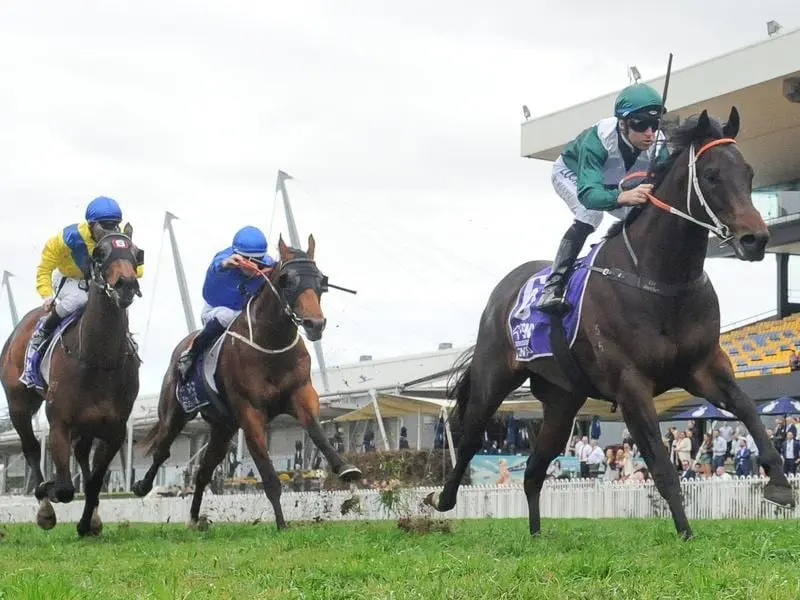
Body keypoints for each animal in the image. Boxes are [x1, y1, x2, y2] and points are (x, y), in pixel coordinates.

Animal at [1, 225, 144, 536]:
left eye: (137, 253)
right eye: (99, 253)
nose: (126, 284)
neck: (99, 359)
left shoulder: (115, 430)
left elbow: (93, 482)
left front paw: (87, 523)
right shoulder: (60, 424)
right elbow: (65, 488)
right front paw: (50, 490)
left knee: (80, 455)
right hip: (19, 405)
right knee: (31, 449)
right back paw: (44, 504)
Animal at [134, 234, 362, 528]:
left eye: (321, 280)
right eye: (287, 279)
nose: (315, 323)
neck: (271, 344)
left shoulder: (299, 393)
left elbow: (315, 428)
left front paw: (346, 468)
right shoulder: (249, 411)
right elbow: (268, 474)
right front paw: (282, 525)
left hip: (223, 428)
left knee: (204, 471)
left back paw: (194, 519)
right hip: (175, 413)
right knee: (162, 450)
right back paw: (142, 486)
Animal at [422, 106, 796, 540]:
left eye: (749, 173)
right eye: (711, 174)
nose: (756, 239)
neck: (660, 278)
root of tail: (505, 289)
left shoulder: (703, 368)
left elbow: (748, 409)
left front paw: (779, 484)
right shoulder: (631, 384)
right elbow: (662, 465)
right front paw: (686, 535)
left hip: (562, 400)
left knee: (534, 470)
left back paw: (536, 534)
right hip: (493, 376)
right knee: (469, 437)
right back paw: (443, 500)